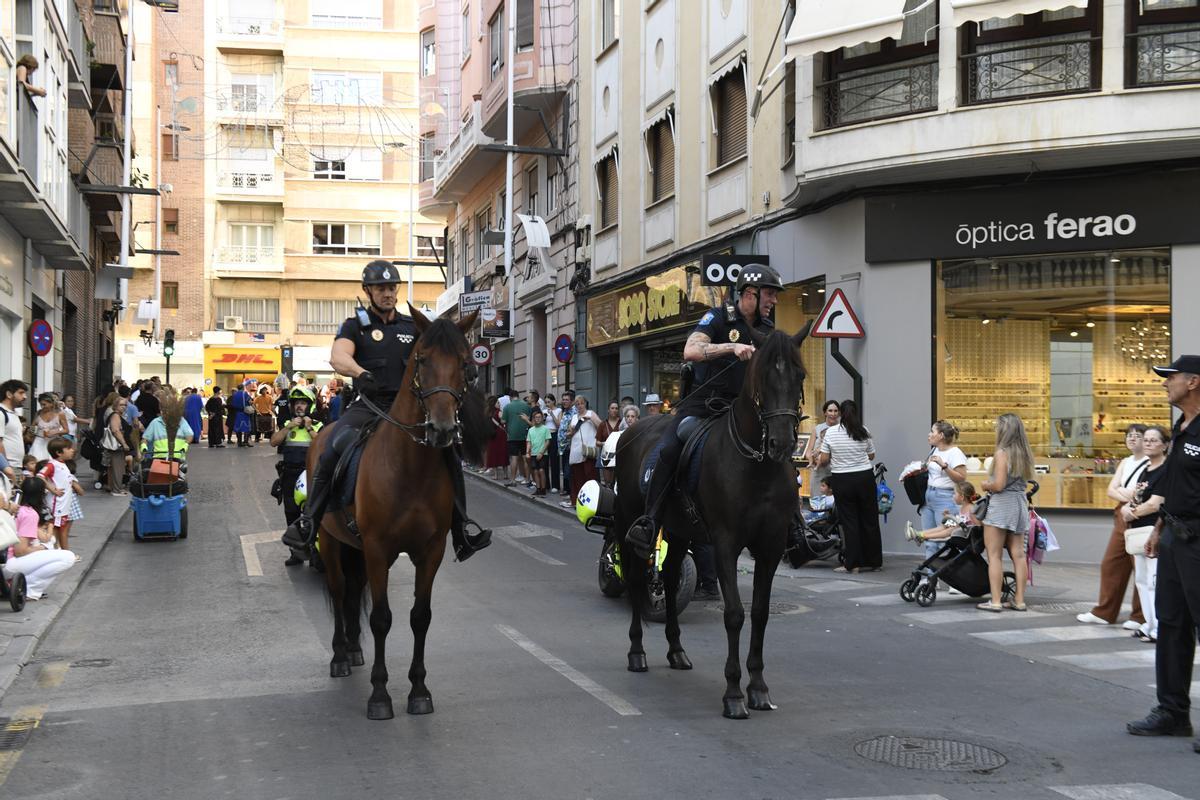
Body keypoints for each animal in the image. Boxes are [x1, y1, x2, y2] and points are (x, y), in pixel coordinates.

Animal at [310, 306, 488, 720]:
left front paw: (419, 690)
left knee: (353, 589)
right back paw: (340, 655)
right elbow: (381, 619)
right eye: (421, 360)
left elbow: (419, 617)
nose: (442, 429)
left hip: (355, 546)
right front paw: (379, 694)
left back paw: (354, 650)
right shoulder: (378, 549)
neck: (410, 469)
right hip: (330, 538)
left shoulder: (430, 552)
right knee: (339, 589)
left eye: (465, 362)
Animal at [612, 323, 811, 719]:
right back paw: (637, 652)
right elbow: (734, 614)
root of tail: (631, 428)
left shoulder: (770, 547)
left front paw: (758, 687)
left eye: (800, 376)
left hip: (679, 531)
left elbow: (760, 614)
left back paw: (676, 650)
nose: (782, 443)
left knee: (669, 578)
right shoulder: (725, 545)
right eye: (763, 376)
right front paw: (733, 693)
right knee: (638, 578)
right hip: (634, 523)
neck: (757, 466)